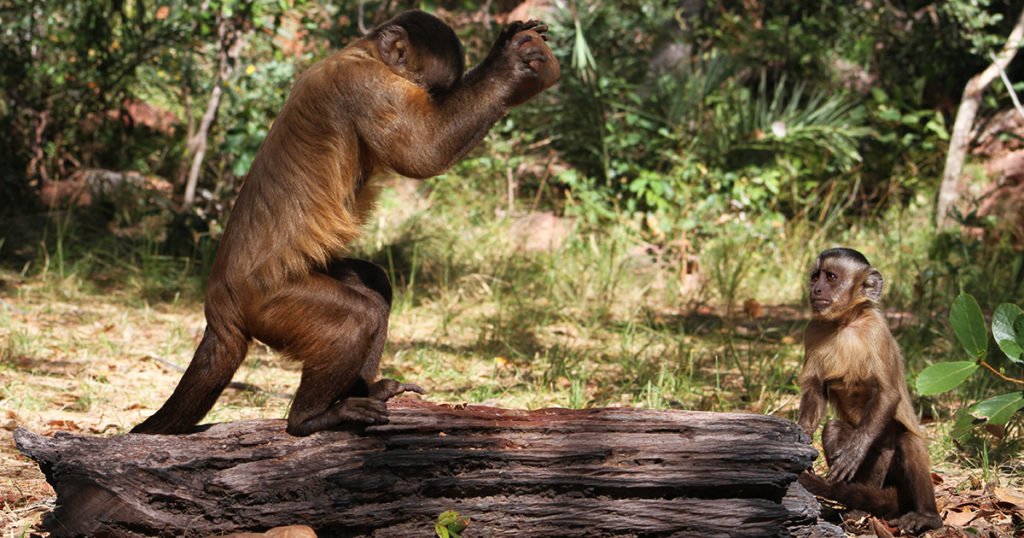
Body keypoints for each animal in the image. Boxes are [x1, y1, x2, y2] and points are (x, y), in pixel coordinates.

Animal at [798, 247, 942, 532]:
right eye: (815, 277)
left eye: (831, 277)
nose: (816, 289)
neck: (846, 322)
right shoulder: (814, 329)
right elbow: (815, 389)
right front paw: (803, 437)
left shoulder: (877, 330)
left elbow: (888, 393)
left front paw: (856, 448)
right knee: (834, 428)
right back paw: (858, 509)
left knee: (903, 440)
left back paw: (926, 516)